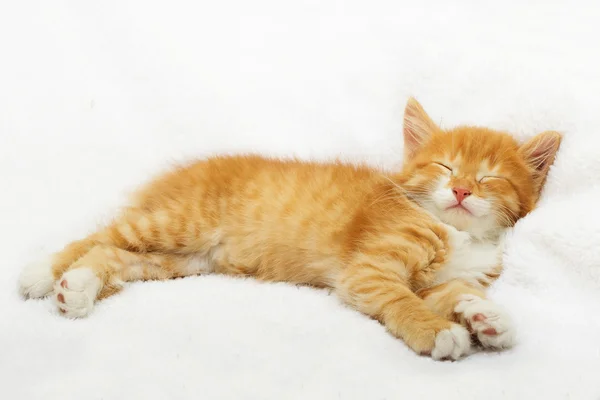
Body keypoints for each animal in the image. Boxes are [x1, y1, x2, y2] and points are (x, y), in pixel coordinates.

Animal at [19, 97, 564, 360]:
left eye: (490, 177)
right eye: (445, 167)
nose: (462, 191)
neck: (457, 233)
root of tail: (178, 174)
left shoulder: (446, 277)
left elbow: (452, 292)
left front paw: (487, 318)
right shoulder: (368, 271)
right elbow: (402, 300)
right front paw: (438, 332)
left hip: (179, 260)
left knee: (112, 255)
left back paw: (76, 288)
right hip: (176, 223)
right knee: (99, 236)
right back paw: (42, 272)